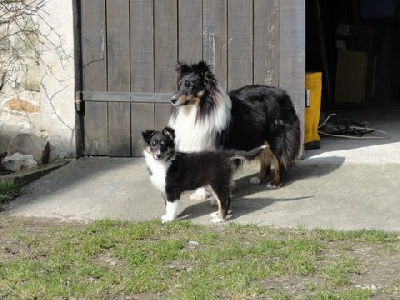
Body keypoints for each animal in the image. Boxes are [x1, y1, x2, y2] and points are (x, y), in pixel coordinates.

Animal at [168, 59, 300, 200]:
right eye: (180, 84)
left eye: (189, 85)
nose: (172, 100)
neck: (200, 109)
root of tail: (284, 93)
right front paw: (200, 194)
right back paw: (259, 178)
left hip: (276, 136)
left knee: (279, 159)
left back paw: (276, 182)